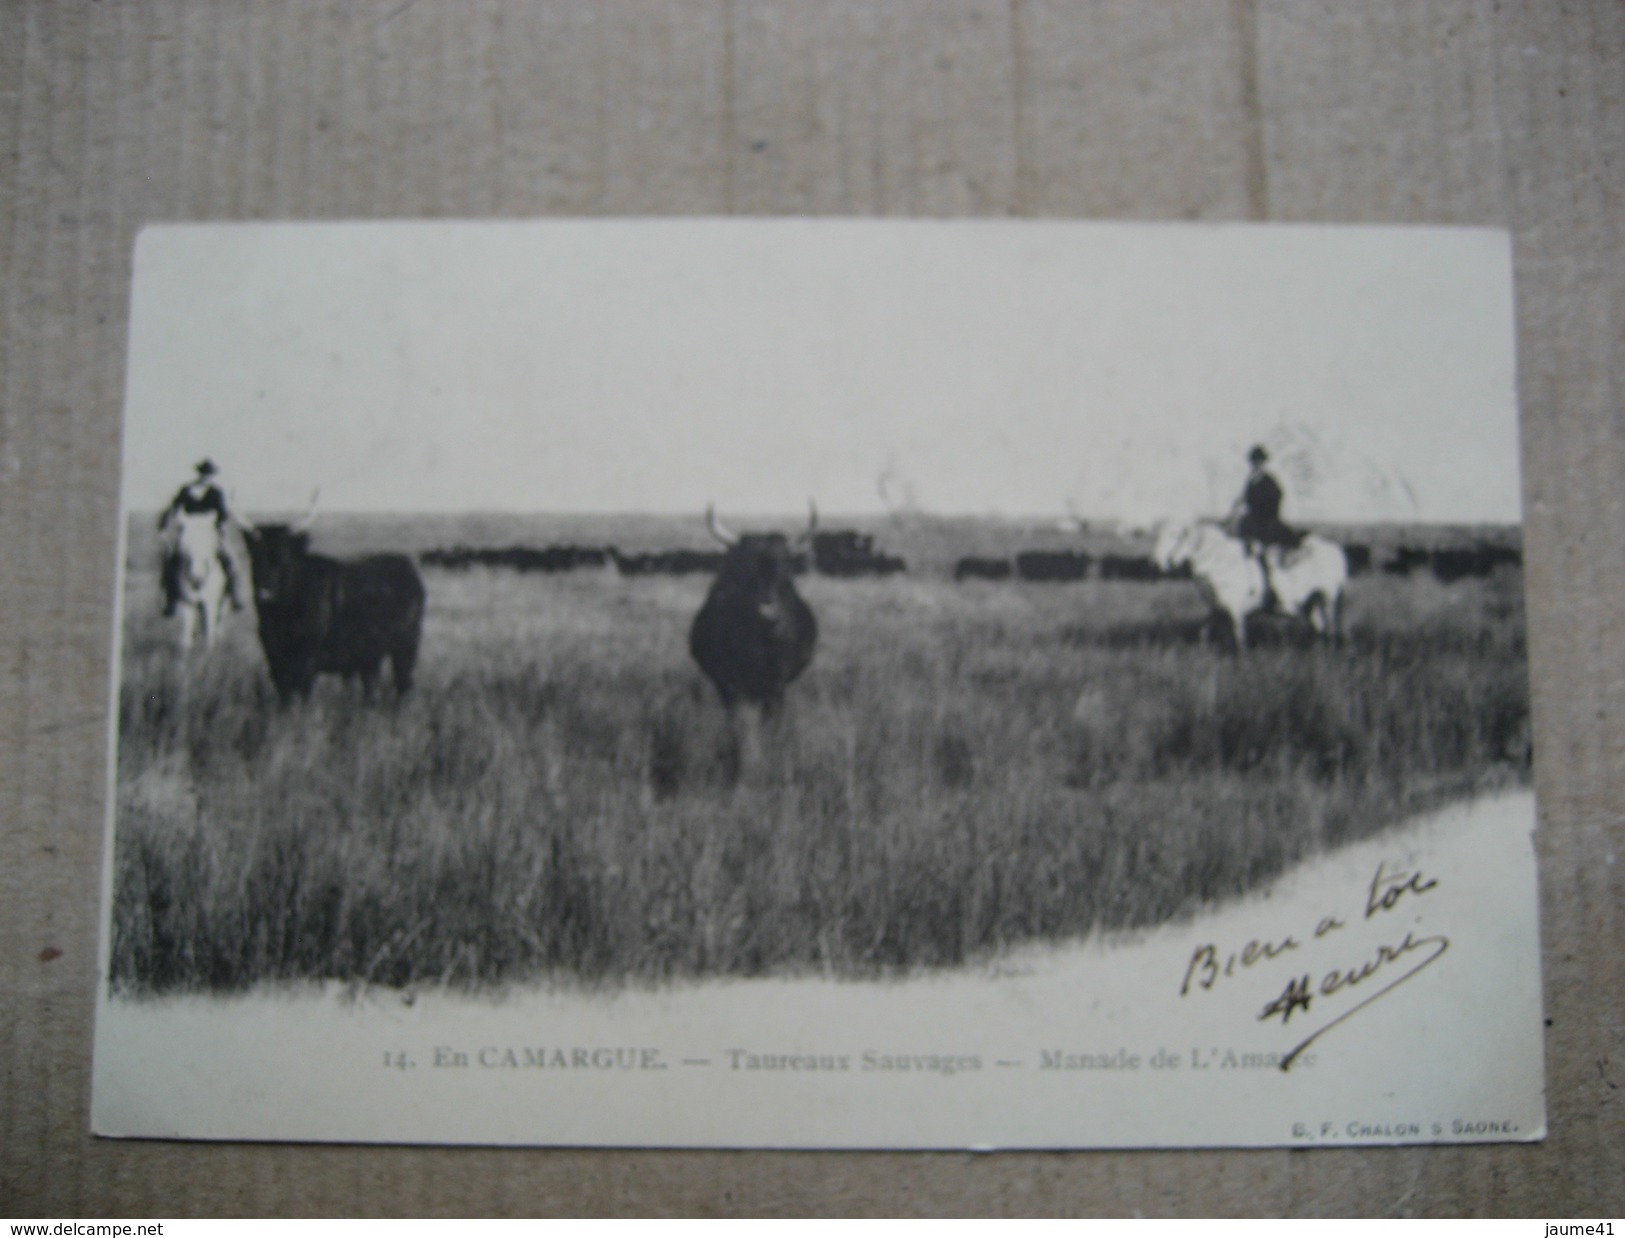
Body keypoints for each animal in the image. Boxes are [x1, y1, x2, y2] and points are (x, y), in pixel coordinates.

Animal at [160, 506, 229, 649]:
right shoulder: (188, 602)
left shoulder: (211, 602)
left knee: (219, 620)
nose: (197, 577)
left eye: (210, 538)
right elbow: (187, 630)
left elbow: (210, 629)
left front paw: (210, 651)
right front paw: (184, 651)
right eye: (186, 542)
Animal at [238, 523, 422, 705]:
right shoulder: (274, 659)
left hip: (406, 647)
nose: (264, 593)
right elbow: (286, 699)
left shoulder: (307, 662)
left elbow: (303, 698)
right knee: (370, 688)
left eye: (285, 558)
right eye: (255, 557)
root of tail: (406, 564)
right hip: (370, 656)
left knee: (403, 686)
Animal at [1157, 519, 1345, 649]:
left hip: (1327, 597)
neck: (1221, 563)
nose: (1164, 562)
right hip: (1311, 602)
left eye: (1178, 537)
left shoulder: (1234, 610)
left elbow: (1240, 639)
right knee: (1319, 629)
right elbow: (1204, 632)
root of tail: (1335, 550)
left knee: (1331, 629)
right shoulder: (1217, 610)